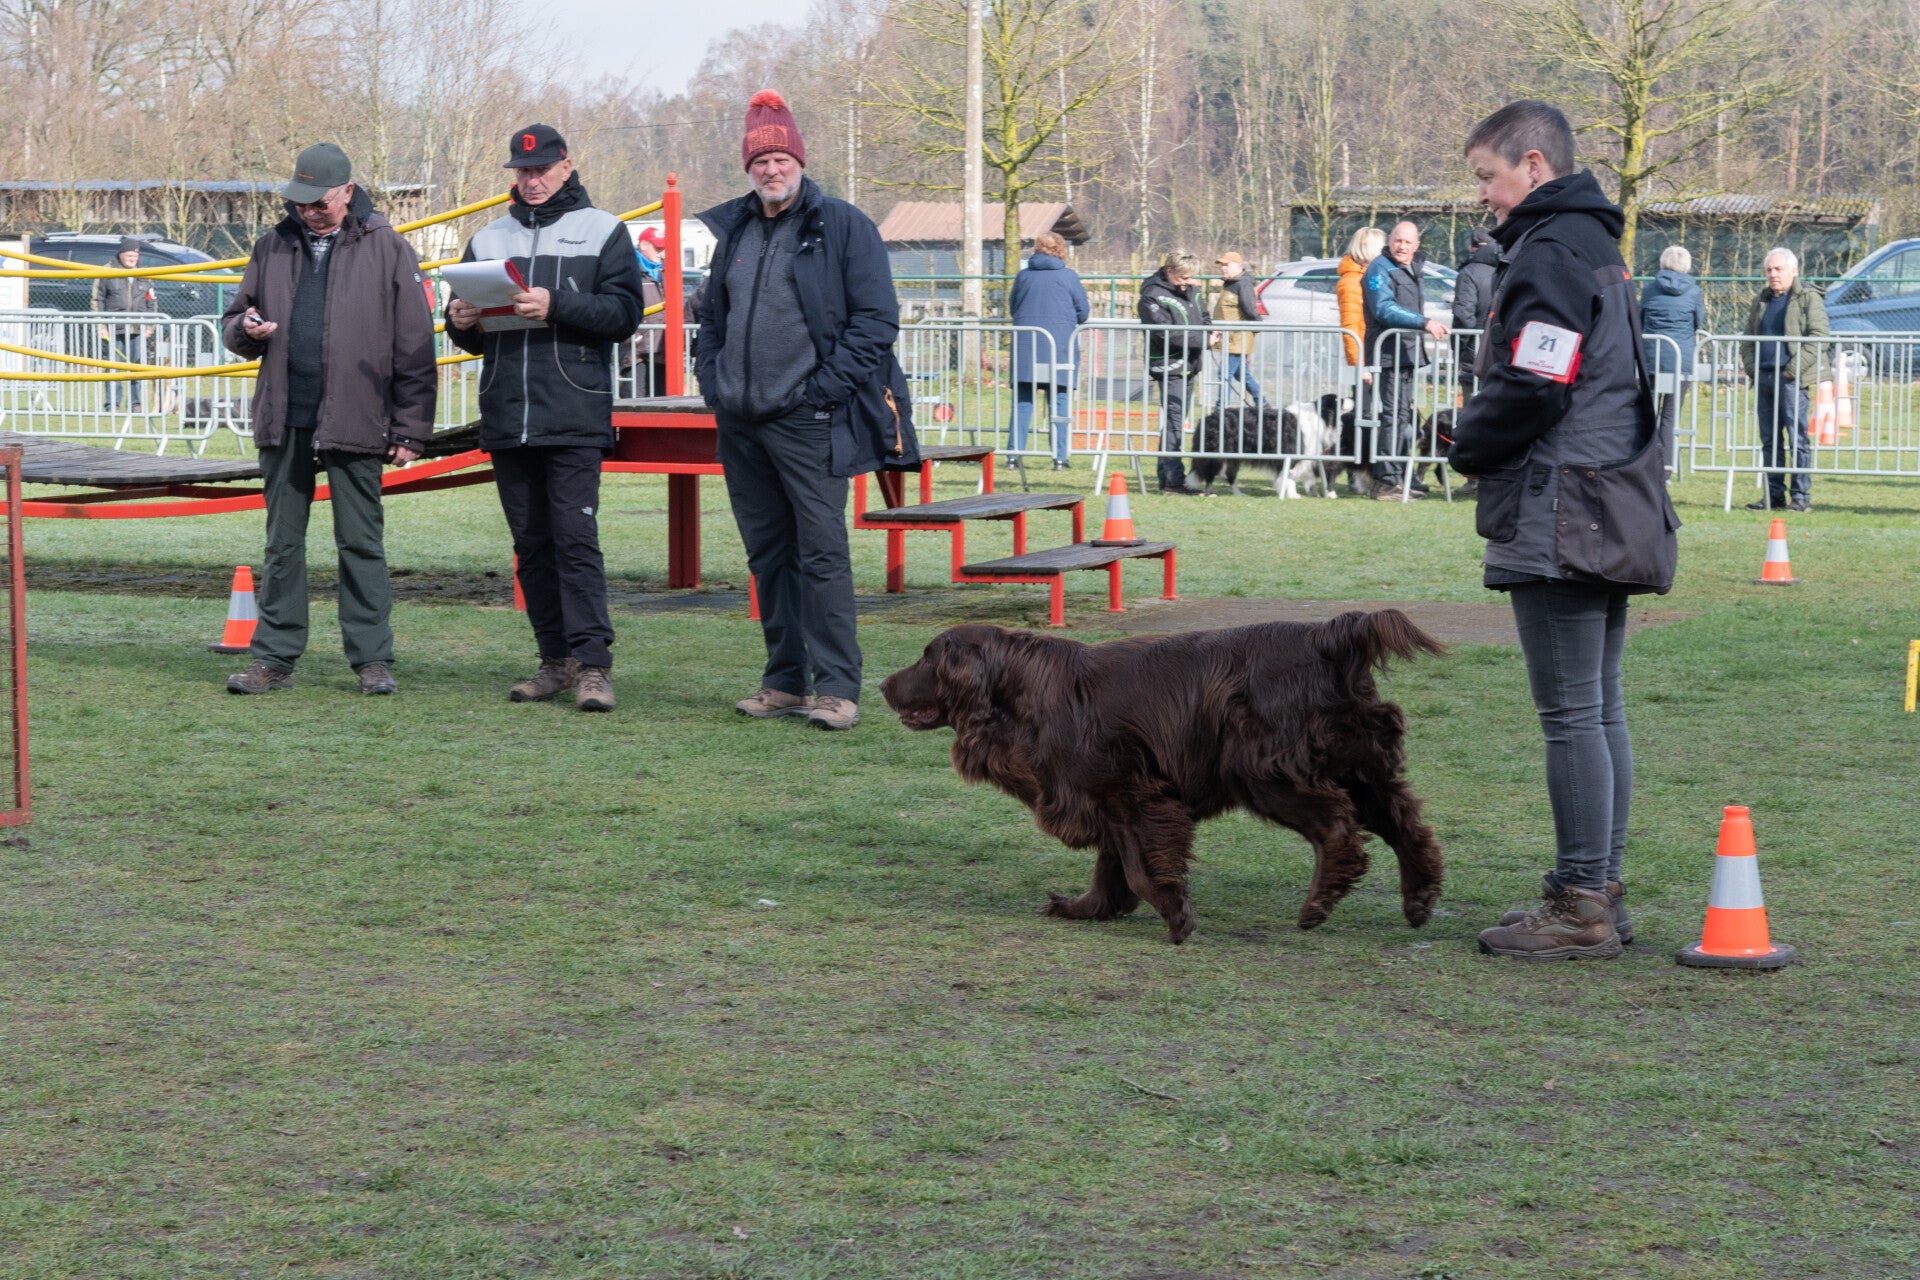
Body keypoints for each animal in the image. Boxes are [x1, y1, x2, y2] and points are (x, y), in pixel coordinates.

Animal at [880, 612, 1447, 944]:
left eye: (928, 657)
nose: (883, 684)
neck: (1020, 693)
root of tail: (1326, 635)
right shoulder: (1108, 798)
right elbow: (1111, 870)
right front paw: (1086, 908)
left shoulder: (1131, 792)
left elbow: (1138, 867)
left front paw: (1176, 916)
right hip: (1358, 765)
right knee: (1406, 825)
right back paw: (1418, 900)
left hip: (1266, 772)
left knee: (1338, 830)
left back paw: (1318, 904)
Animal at [1188, 400, 1344, 499]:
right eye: (1340, 401)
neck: (1318, 417)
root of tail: (1207, 418)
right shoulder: (1290, 454)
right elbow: (1289, 476)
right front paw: (1293, 495)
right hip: (1216, 454)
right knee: (1210, 474)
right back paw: (1210, 493)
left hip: (1234, 457)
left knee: (1230, 476)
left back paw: (1239, 494)